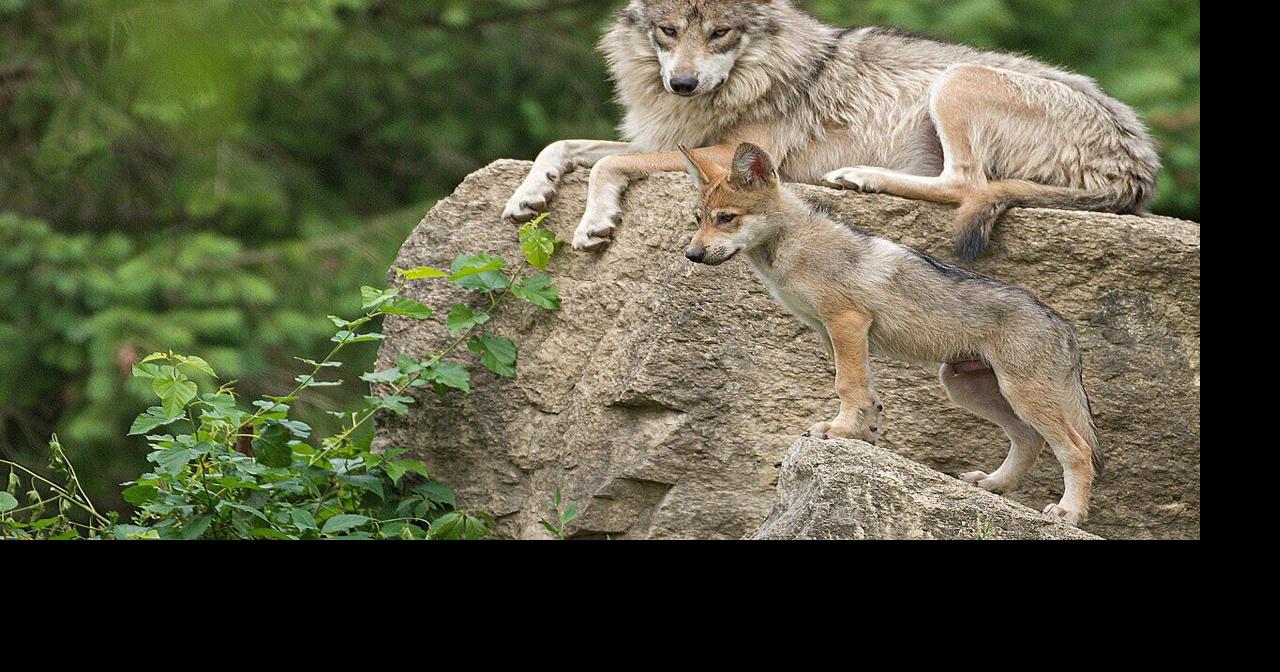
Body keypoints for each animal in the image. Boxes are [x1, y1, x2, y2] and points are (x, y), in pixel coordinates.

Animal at [502, 0, 1160, 262]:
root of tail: (1137, 165)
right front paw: (528, 193)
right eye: (668, 30)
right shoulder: (662, 141)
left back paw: (861, 177)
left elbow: (607, 163)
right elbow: (562, 144)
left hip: (956, 80)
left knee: (964, 184)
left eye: (719, 33)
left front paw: (593, 221)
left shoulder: (729, 152)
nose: (683, 83)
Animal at [680, 142, 1104, 525]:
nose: (692, 255)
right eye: (699, 219)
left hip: (1020, 395)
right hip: (967, 387)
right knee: (1028, 441)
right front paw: (861, 434)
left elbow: (846, 386)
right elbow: (865, 392)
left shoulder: (847, 322)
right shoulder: (832, 333)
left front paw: (838, 430)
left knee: (1076, 450)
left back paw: (1068, 512)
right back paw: (992, 484)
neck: (793, 247)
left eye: (726, 218)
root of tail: (1063, 324)